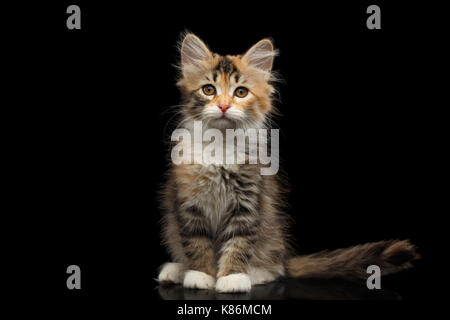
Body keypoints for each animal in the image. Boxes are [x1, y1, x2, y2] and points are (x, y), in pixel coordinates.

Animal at [157, 33, 418, 292]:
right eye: (209, 90)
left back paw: (255, 272)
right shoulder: (189, 201)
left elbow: (239, 242)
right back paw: (176, 270)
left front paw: (232, 277)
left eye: (240, 92)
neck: (221, 144)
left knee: (277, 268)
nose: (223, 106)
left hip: (272, 237)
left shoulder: (248, 202)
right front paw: (200, 274)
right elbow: (196, 243)